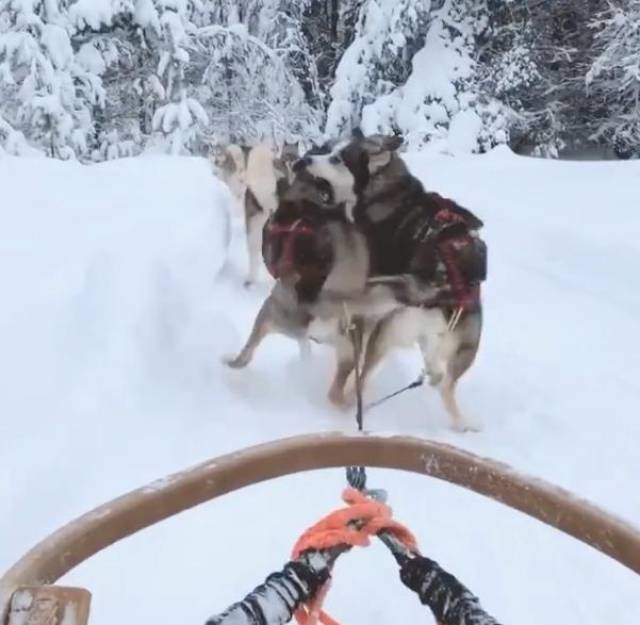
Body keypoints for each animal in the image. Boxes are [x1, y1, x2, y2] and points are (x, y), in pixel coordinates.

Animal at [292, 130, 482, 434]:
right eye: (330, 150)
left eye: (337, 158)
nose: (305, 159)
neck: (388, 192)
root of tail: (443, 283)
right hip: (459, 348)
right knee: (444, 383)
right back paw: (461, 420)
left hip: (385, 331)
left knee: (360, 377)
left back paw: (347, 403)